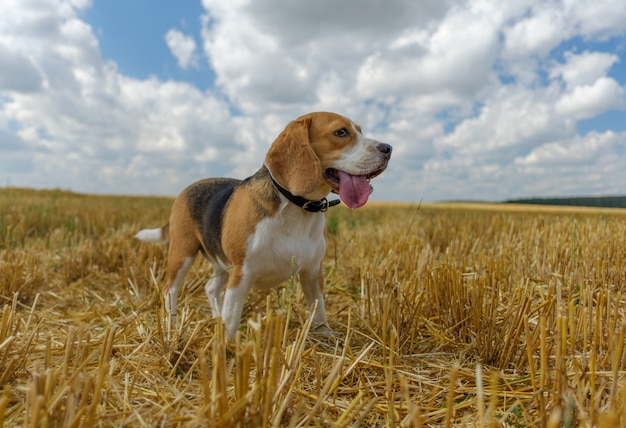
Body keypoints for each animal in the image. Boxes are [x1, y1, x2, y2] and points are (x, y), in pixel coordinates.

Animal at [135, 112, 390, 340]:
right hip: (183, 254)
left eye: (360, 131)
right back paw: (171, 325)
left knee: (210, 287)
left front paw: (326, 339)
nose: (388, 148)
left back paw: (214, 317)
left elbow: (318, 311)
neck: (296, 205)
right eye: (341, 132)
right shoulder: (242, 274)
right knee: (170, 290)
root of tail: (187, 188)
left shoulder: (311, 272)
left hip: (222, 264)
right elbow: (232, 318)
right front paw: (226, 349)